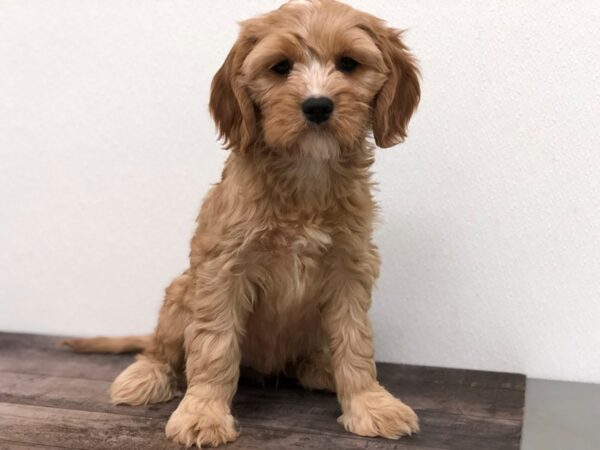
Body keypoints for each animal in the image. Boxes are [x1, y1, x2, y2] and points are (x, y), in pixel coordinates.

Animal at [65, 0, 420, 444]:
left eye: (348, 64)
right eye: (280, 67)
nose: (317, 105)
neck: (306, 174)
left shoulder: (349, 267)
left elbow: (356, 341)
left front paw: (370, 403)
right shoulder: (222, 269)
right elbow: (214, 347)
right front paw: (202, 413)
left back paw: (320, 368)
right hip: (180, 292)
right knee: (161, 350)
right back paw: (145, 375)